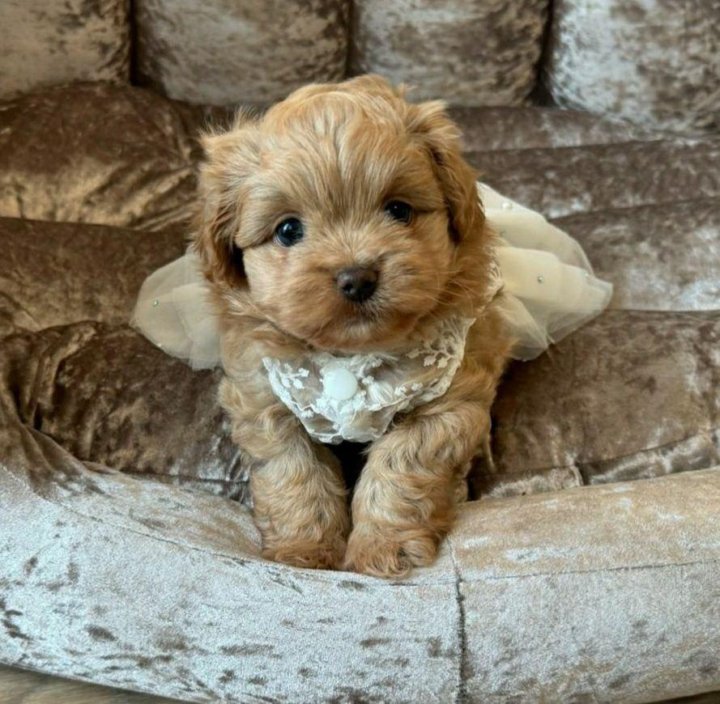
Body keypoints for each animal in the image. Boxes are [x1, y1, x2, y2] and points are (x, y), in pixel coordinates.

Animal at [194, 75, 512, 577]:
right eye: (288, 230)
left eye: (399, 210)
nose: (357, 277)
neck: (351, 355)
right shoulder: (262, 395)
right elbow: (293, 470)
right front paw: (304, 550)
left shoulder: (448, 402)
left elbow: (401, 464)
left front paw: (383, 546)